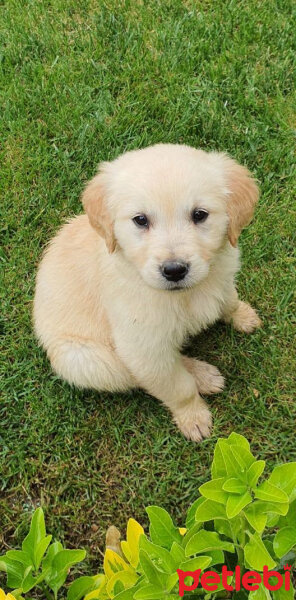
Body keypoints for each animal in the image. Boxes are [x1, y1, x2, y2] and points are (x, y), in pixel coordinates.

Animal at [33, 142, 262, 438]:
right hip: (82, 359)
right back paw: (202, 375)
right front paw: (193, 417)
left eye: (199, 215)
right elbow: (176, 385)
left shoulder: (222, 278)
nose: (174, 270)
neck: (186, 295)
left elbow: (229, 300)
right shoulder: (142, 346)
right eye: (140, 220)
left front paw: (243, 316)